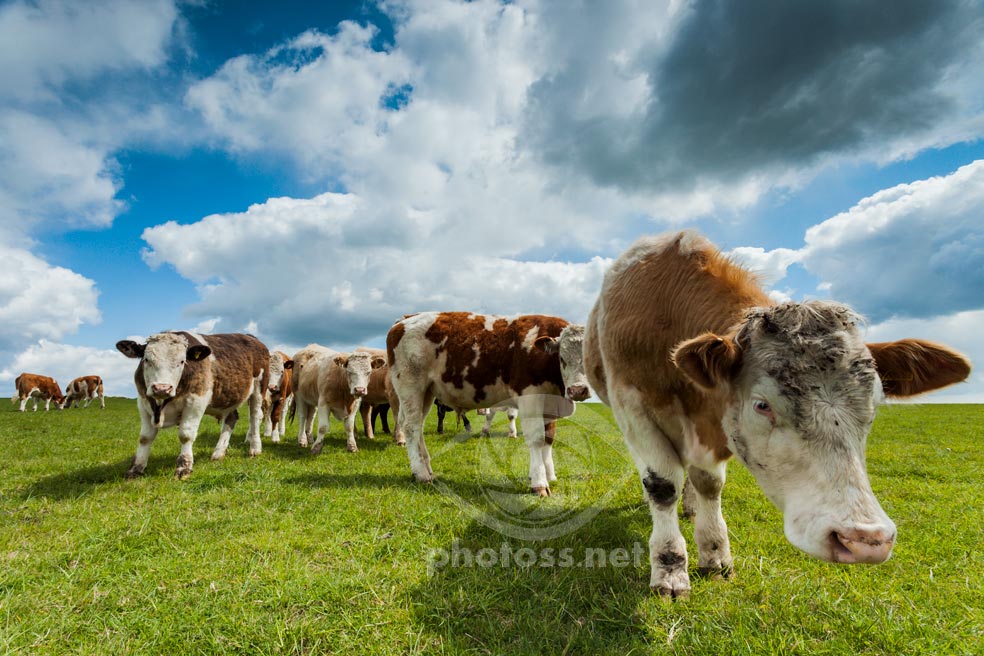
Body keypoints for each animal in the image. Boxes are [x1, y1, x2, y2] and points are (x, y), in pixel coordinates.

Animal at [116, 330, 270, 480]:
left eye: (182, 361)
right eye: (147, 360)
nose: (162, 388)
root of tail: (250, 337)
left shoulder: (196, 401)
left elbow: (186, 435)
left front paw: (184, 467)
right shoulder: (143, 401)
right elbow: (145, 438)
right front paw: (136, 468)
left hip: (259, 388)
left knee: (255, 416)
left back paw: (255, 448)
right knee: (231, 418)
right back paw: (218, 453)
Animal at [580, 232, 972, 600]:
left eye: (873, 403)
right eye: (761, 405)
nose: (864, 539)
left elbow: (709, 483)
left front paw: (715, 553)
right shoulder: (632, 407)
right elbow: (662, 485)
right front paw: (670, 570)